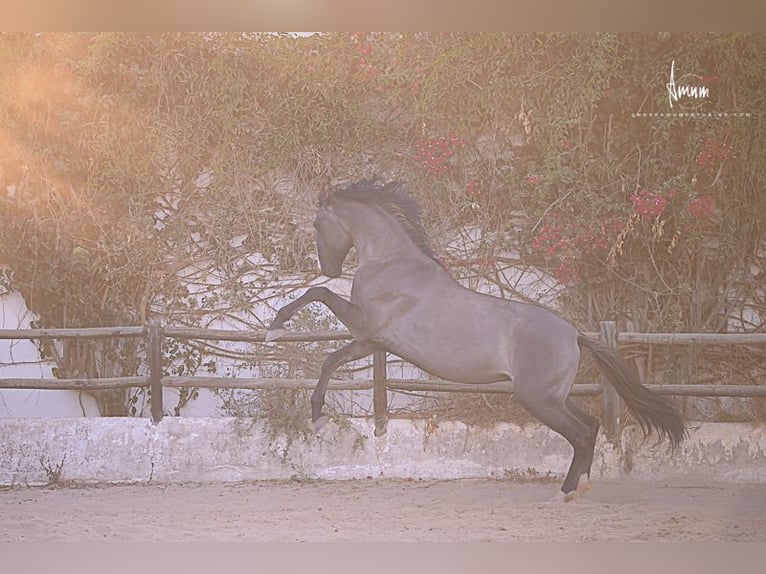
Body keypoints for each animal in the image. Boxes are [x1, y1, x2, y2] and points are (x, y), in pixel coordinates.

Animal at [266, 178, 686, 501]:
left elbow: (320, 304)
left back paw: (564, 492)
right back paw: (577, 488)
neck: (393, 265)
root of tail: (576, 335)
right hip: (553, 397)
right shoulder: (372, 343)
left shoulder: (364, 328)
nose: (329, 267)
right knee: (592, 426)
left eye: (317, 223)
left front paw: (280, 339)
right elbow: (329, 352)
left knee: (582, 434)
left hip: (537, 398)